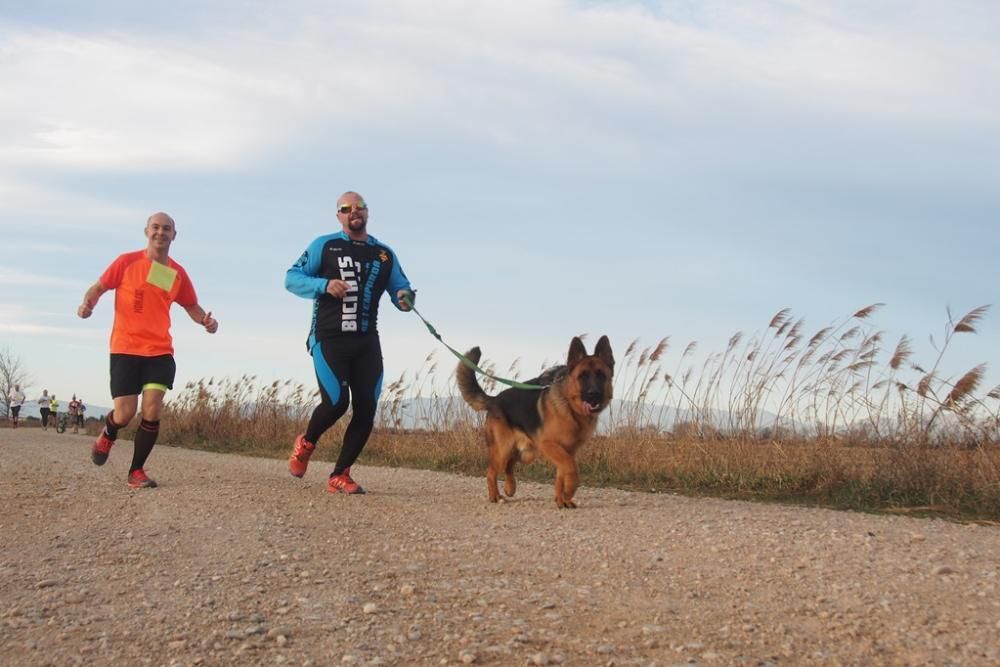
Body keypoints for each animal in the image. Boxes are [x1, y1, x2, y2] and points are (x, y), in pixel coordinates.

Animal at [458, 336, 612, 508]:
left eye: (601, 376)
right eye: (583, 376)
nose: (594, 395)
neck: (569, 406)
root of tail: (495, 399)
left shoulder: (565, 452)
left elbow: (561, 475)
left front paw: (562, 499)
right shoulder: (550, 445)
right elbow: (571, 468)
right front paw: (569, 491)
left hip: (527, 453)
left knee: (509, 465)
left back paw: (510, 487)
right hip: (504, 449)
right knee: (491, 472)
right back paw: (495, 496)